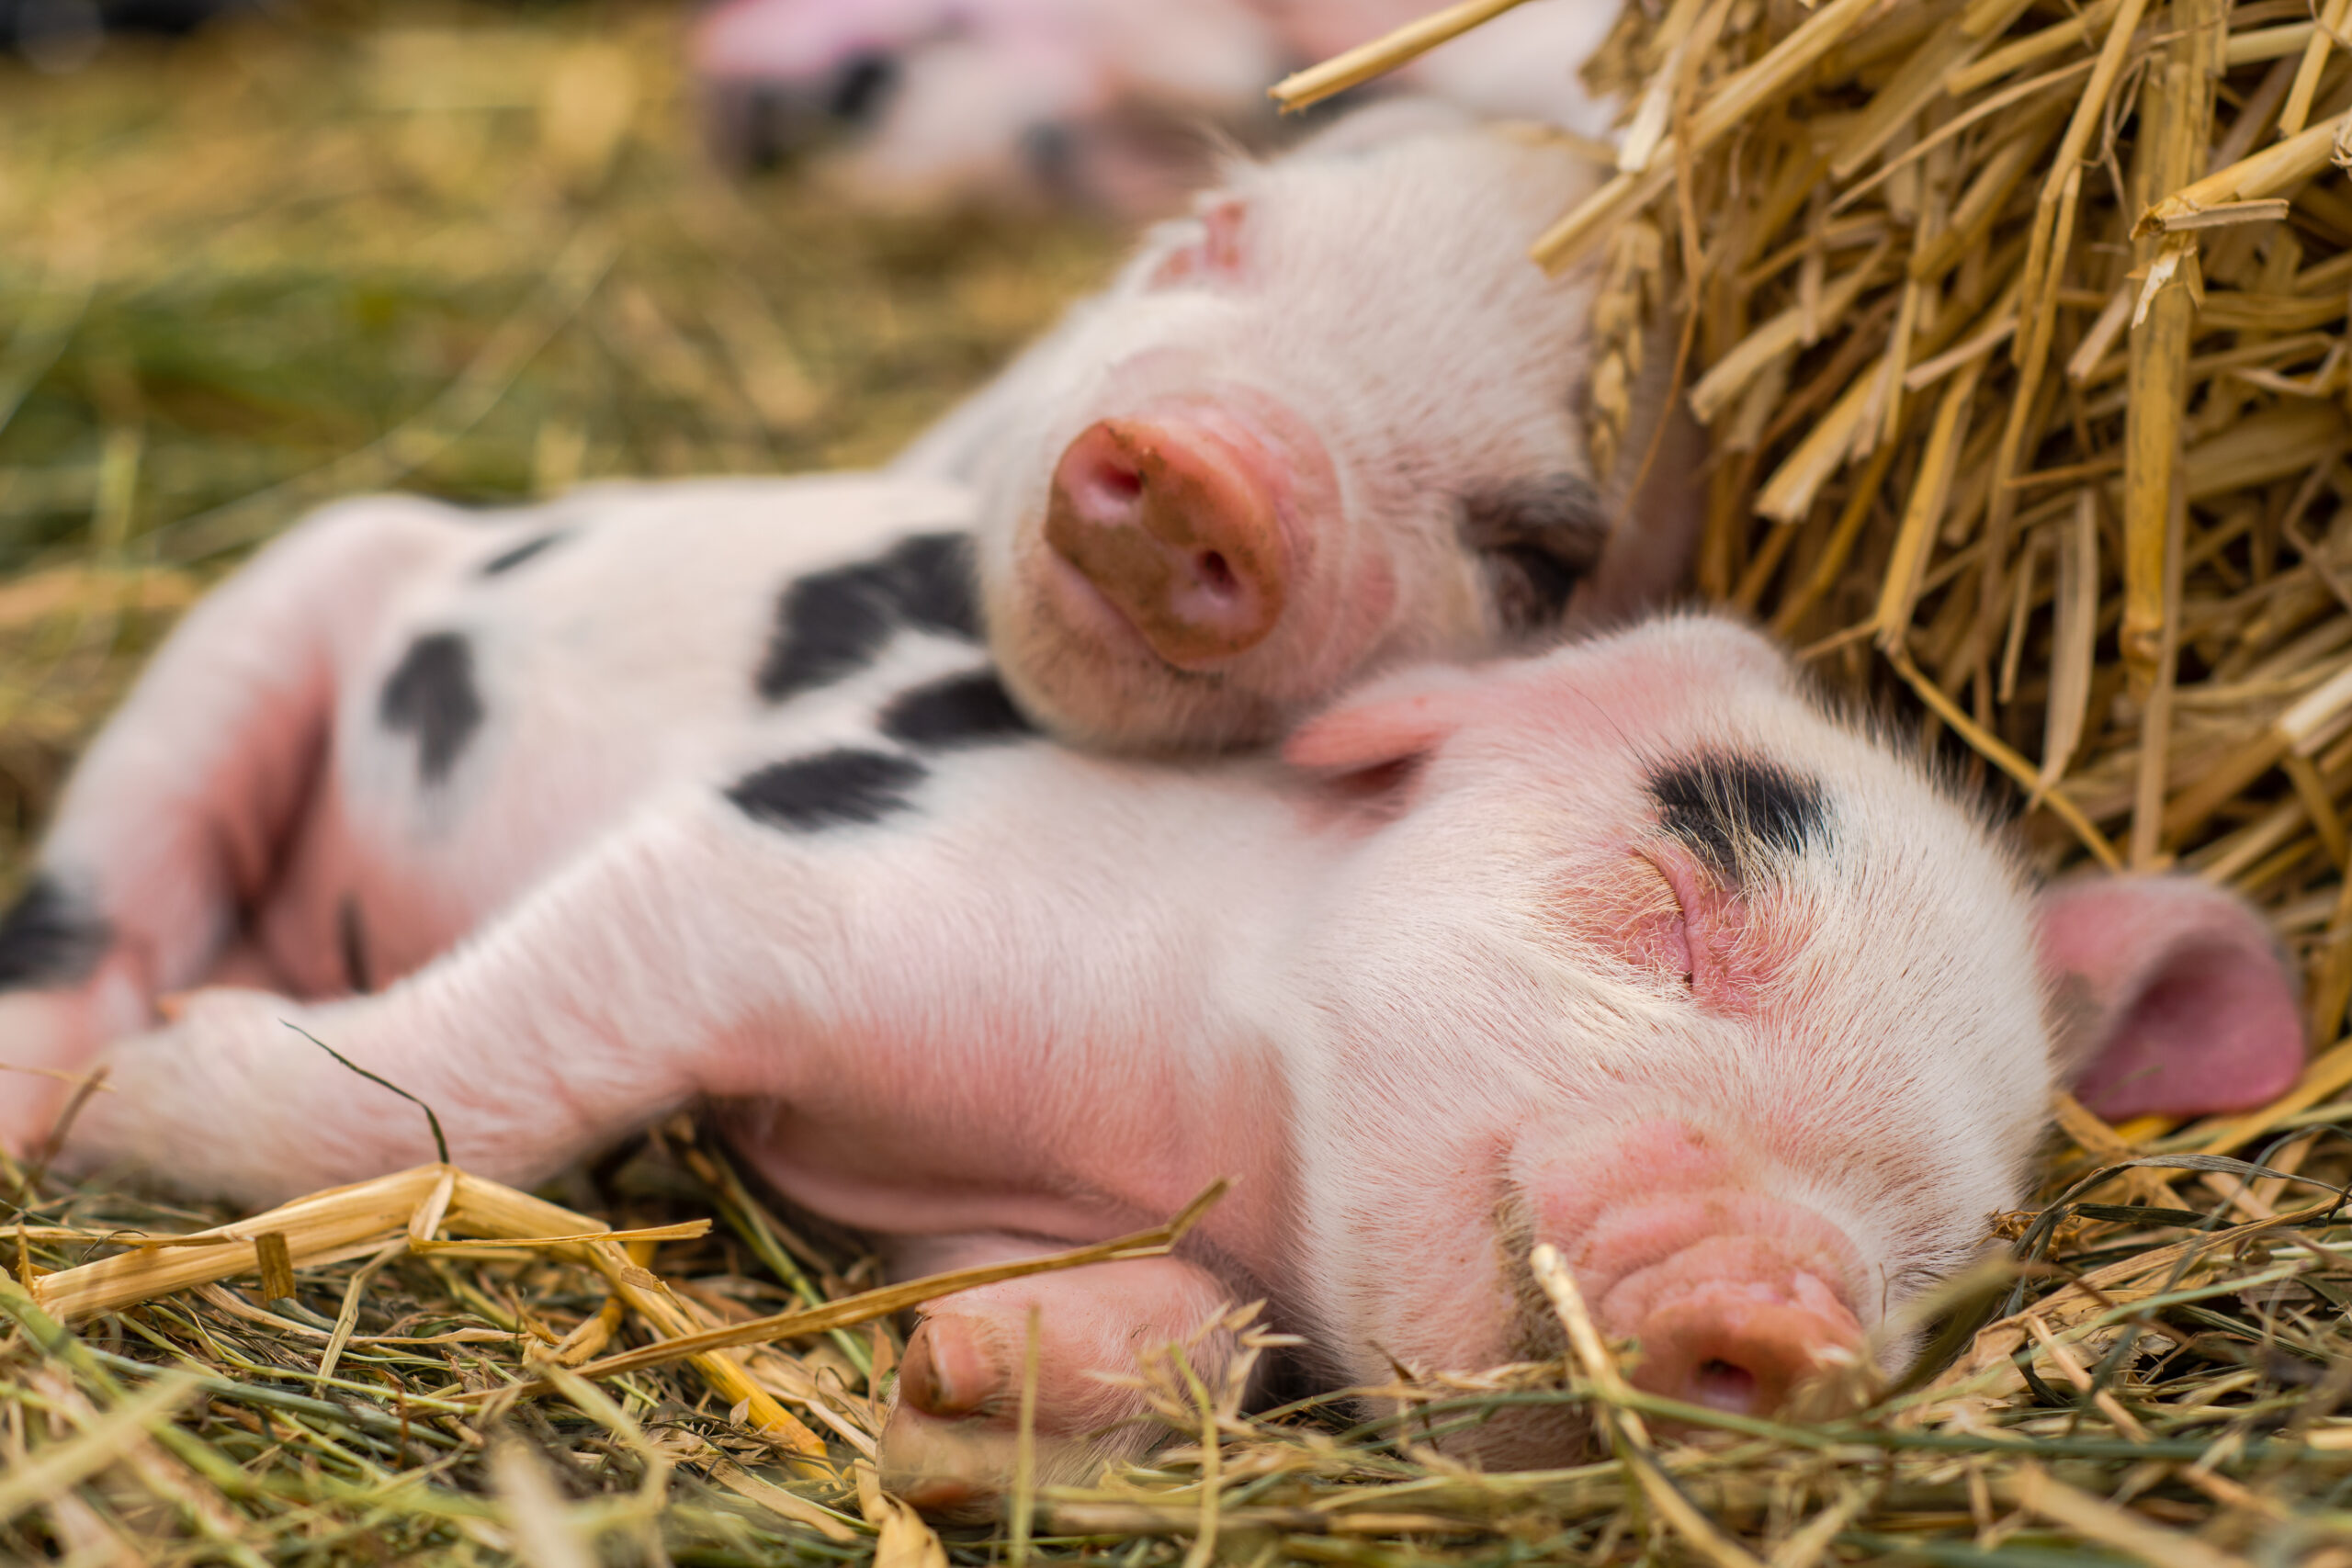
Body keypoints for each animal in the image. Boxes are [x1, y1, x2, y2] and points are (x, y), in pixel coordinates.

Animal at [0, 481, 2305, 1507]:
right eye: (1672, 898)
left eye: (1944, 1248)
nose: (1775, 1297)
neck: (1179, 1113)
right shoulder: (775, 866)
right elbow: (491, 1070)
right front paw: (171, 1085)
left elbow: (1182, 1334)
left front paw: (954, 1382)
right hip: (269, 605)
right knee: (102, 872)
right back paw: (81, 1064)